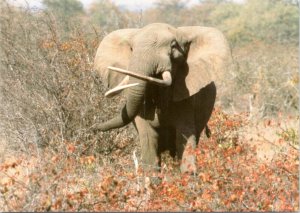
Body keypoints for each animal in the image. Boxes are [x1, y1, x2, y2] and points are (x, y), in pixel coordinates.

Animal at [92, 22, 229, 174]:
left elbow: (185, 135)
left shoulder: (187, 95)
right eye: (132, 49)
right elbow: (148, 138)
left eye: (173, 46)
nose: (93, 128)